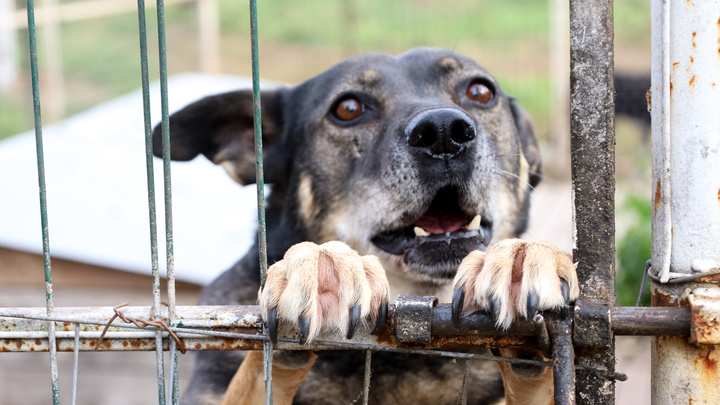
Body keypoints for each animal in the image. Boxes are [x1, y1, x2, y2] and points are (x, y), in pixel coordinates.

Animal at [152, 48, 580, 404]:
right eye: (348, 108)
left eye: (480, 91)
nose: (444, 132)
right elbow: (260, 365)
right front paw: (323, 268)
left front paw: (518, 259)